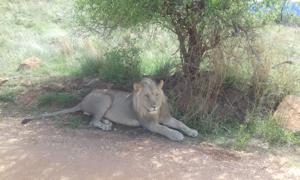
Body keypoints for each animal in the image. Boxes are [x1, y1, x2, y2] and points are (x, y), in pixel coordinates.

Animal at [22, 77, 198, 141]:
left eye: (156, 94)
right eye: (146, 96)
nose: (154, 105)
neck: (155, 112)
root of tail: (83, 100)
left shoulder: (165, 117)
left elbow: (180, 123)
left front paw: (192, 131)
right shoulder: (148, 123)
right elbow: (164, 129)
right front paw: (176, 135)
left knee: (92, 117)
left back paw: (107, 122)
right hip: (105, 98)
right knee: (92, 121)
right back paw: (105, 126)